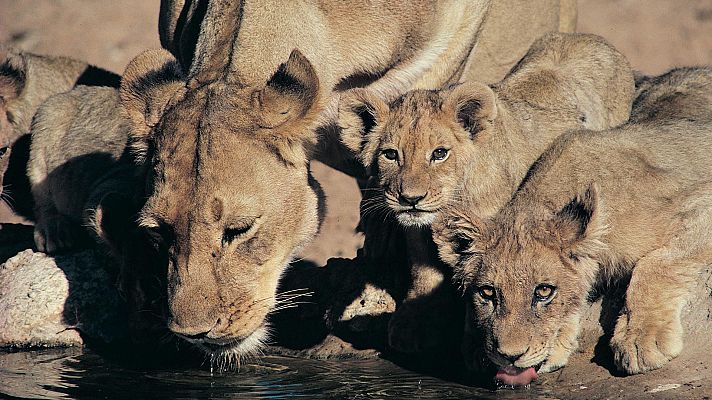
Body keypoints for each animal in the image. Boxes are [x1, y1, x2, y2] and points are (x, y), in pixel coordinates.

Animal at [337, 32, 635, 354]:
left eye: (439, 153)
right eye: (391, 155)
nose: (411, 199)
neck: (451, 202)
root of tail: (590, 37)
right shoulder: (418, 232)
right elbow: (423, 271)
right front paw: (412, 325)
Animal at [433, 67, 712, 384]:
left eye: (544, 291)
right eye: (487, 293)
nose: (509, 356)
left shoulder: (698, 199)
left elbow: (655, 265)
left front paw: (641, 338)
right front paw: (473, 347)